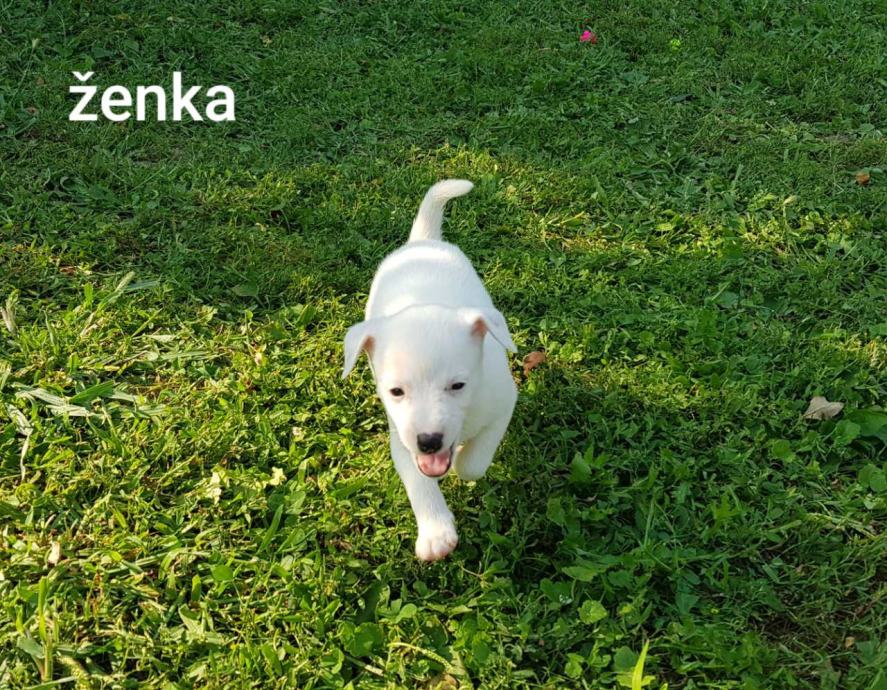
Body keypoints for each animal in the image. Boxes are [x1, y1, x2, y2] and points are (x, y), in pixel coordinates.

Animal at [342, 180, 517, 561]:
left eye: (458, 386)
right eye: (396, 391)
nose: (429, 441)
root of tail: (421, 242)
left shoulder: (502, 405)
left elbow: (474, 462)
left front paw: (463, 460)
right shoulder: (402, 436)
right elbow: (418, 479)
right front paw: (436, 532)